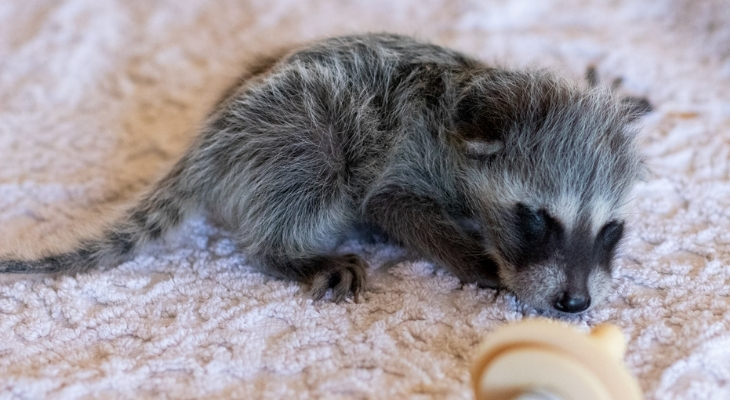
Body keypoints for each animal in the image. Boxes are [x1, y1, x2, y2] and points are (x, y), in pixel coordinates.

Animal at [2, 33, 644, 312]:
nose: (576, 303)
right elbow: (389, 204)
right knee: (316, 171)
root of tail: (207, 141)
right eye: (536, 218)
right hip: (301, 129)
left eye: (610, 229)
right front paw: (483, 264)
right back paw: (286, 251)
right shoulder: (408, 146)